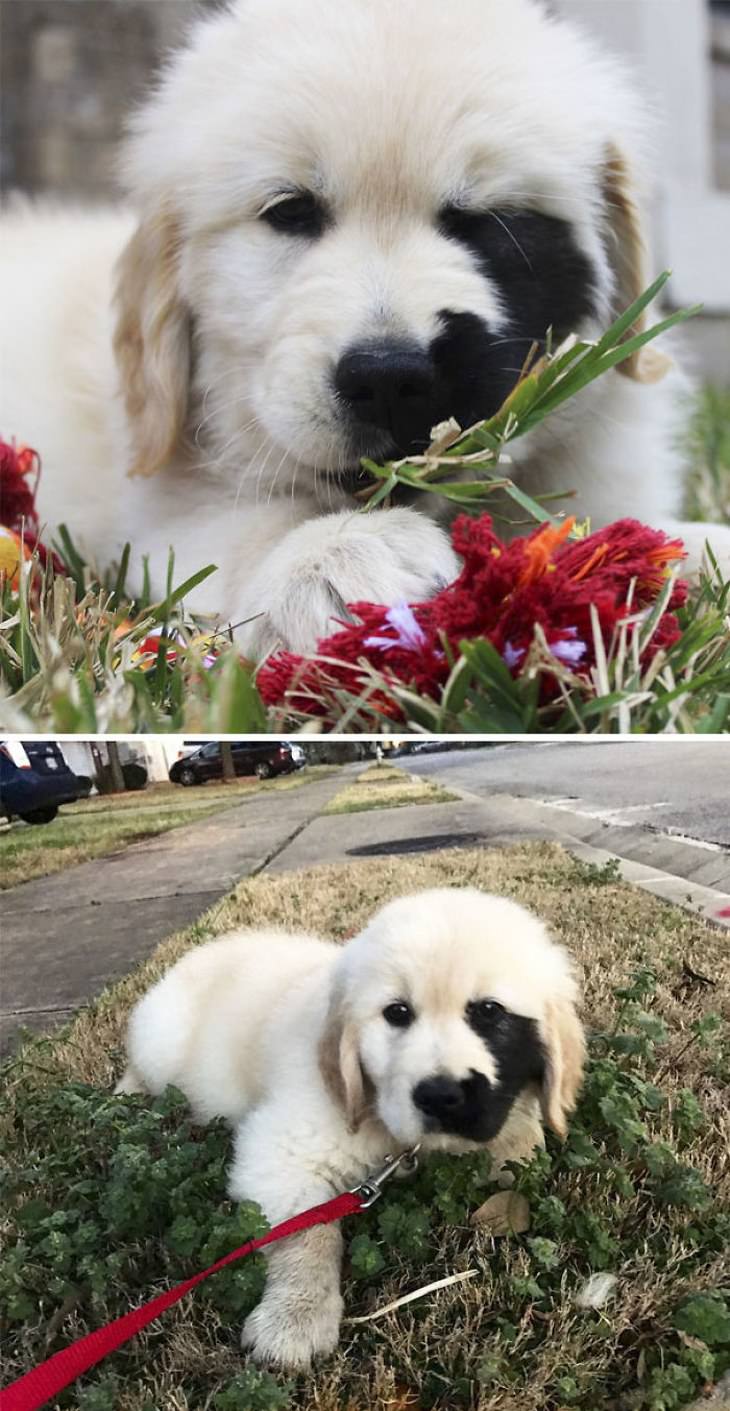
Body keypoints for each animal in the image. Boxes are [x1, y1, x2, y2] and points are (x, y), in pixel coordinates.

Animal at [2, 0, 722, 654]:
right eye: (291, 212)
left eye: (489, 221)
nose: (388, 378)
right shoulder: (149, 514)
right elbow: (236, 534)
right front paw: (335, 555)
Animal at [119, 891, 587, 1365]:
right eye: (397, 1013)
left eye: (490, 1012)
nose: (440, 1096)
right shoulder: (280, 1150)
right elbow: (308, 1231)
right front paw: (297, 1315)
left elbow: (519, 1147)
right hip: (161, 1044)